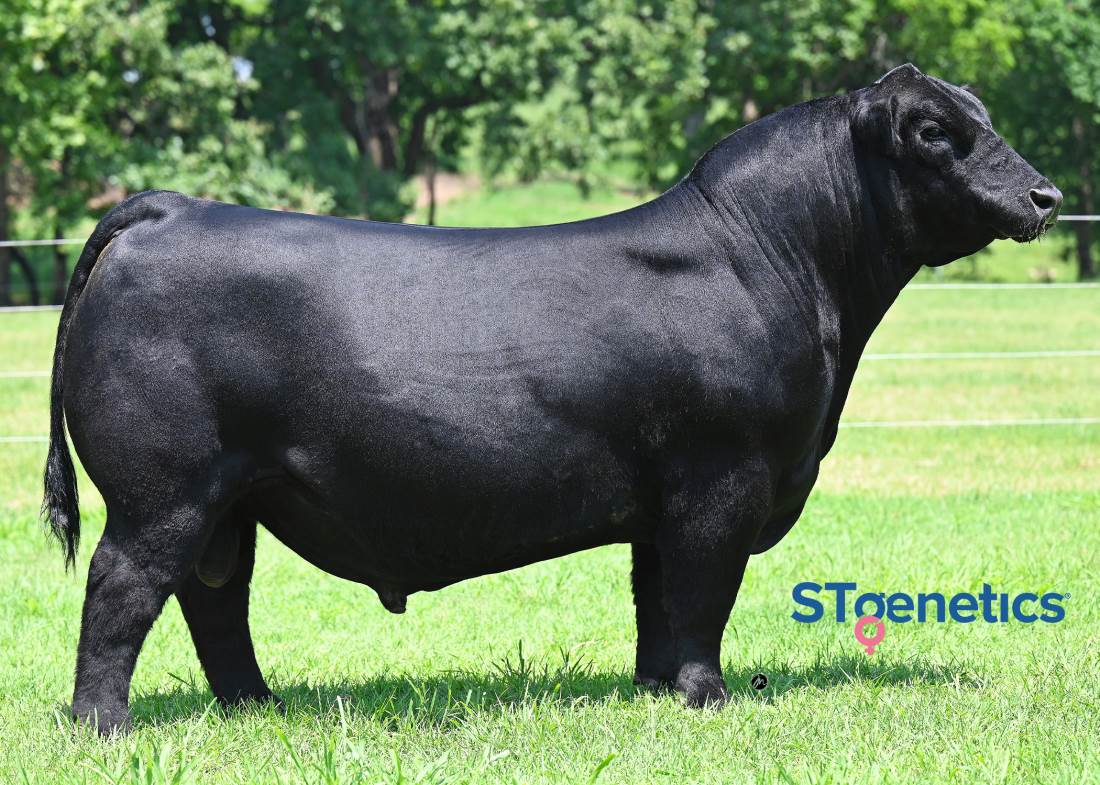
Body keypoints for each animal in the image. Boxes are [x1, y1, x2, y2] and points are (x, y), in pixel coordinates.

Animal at [43, 64, 1060, 734]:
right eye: (934, 131)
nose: (1047, 195)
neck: (783, 265)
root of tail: (173, 207)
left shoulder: (664, 495)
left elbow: (658, 597)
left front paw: (656, 690)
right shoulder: (723, 477)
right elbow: (703, 591)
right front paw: (708, 696)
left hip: (231, 497)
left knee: (216, 599)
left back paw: (259, 706)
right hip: (161, 490)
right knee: (123, 586)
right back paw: (104, 725)